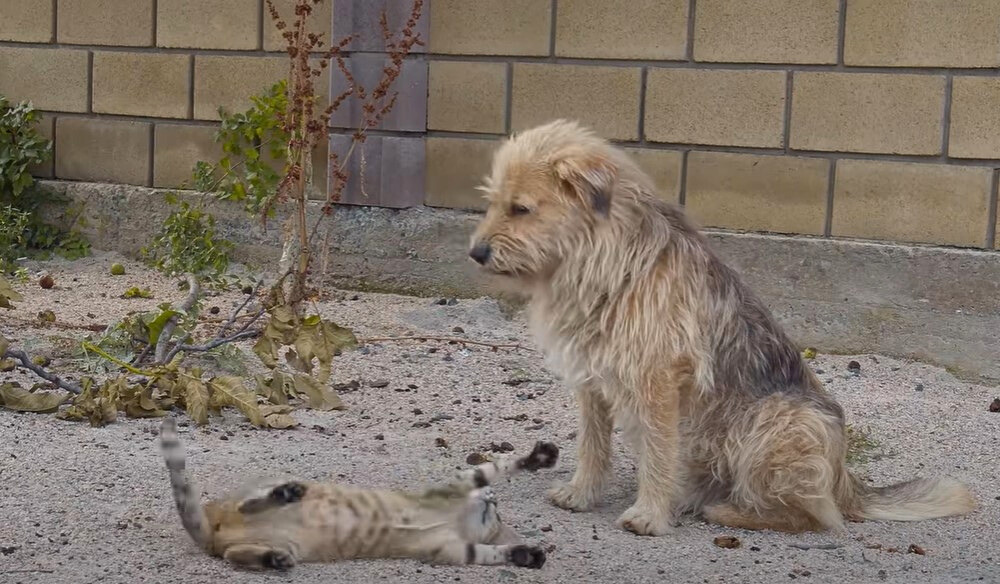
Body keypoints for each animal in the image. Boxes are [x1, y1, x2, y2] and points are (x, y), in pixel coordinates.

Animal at [160, 418, 560, 572]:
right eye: (498, 513)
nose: (494, 501)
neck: (456, 520)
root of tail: (212, 527)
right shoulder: (448, 488)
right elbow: (491, 468)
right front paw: (537, 457)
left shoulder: (456, 550)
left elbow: (491, 553)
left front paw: (525, 554)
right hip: (267, 491)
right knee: (251, 503)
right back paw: (286, 493)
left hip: (288, 545)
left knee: (235, 554)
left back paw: (273, 559)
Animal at [468, 121, 976, 536]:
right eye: (492, 203)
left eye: (521, 208)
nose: (476, 253)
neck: (605, 260)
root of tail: (846, 482)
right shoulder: (593, 378)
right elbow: (593, 444)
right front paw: (582, 494)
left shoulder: (658, 380)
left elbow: (659, 452)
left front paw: (649, 514)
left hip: (780, 421)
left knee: (816, 516)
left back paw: (729, 511)